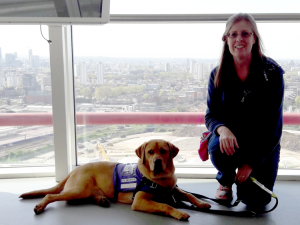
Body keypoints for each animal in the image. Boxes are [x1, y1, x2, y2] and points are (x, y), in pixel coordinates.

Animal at [19, 139, 211, 220]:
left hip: (83, 191)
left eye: (163, 151)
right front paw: (179, 212)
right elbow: (165, 205)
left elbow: (189, 194)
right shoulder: (139, 200)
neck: (161, 179)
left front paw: (201, 203)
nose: (157, 162)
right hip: (79, 189)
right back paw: (40, 206)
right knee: (52, 196)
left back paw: (102, 200)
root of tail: (76, 169)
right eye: (150, 152)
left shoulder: (174, 189)